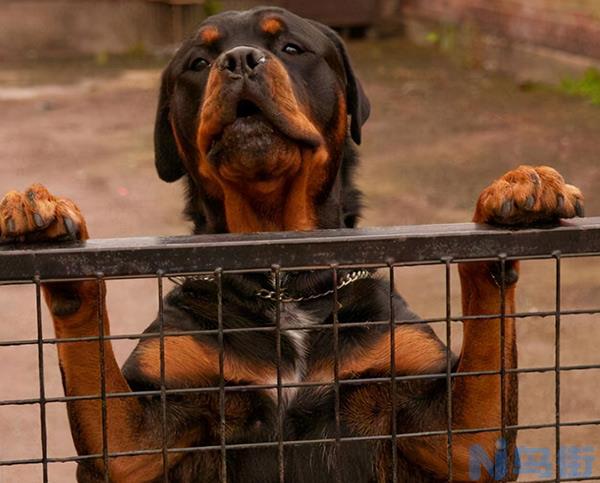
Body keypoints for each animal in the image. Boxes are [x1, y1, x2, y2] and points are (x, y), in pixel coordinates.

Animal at [0, 4, 584, 483]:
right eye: (197, 62)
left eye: (291, 48)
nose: (238, 60)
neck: (285, 281)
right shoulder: (135, 440)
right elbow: (107, 406)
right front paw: (40, 210)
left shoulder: (458, 437)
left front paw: (517, 187)